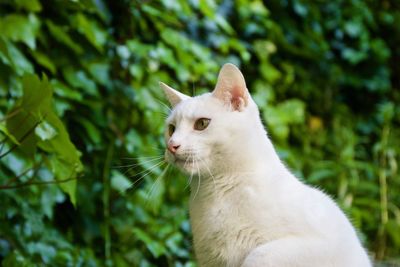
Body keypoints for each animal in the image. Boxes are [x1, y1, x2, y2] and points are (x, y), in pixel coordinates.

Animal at [159, 63, 372, 266]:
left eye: (202, 124)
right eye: (171, 129)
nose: (172, 145)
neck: (216, 190)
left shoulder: (320, 245)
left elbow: (259, 255)